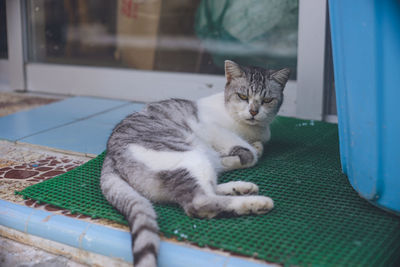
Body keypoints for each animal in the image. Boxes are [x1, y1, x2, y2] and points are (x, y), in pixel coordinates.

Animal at [99, 60, 288, 267]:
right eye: (243, 96)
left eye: (267, 100)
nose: (254, 112)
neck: (251, 130)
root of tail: (109, 156)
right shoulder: (212, 128)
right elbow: (251, 154)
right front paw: (239, 155)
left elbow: (254, 149)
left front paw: (241, 154)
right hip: (191, 155)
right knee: (200, 202)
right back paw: (257, 202)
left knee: (208, 188)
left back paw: (241, 188)